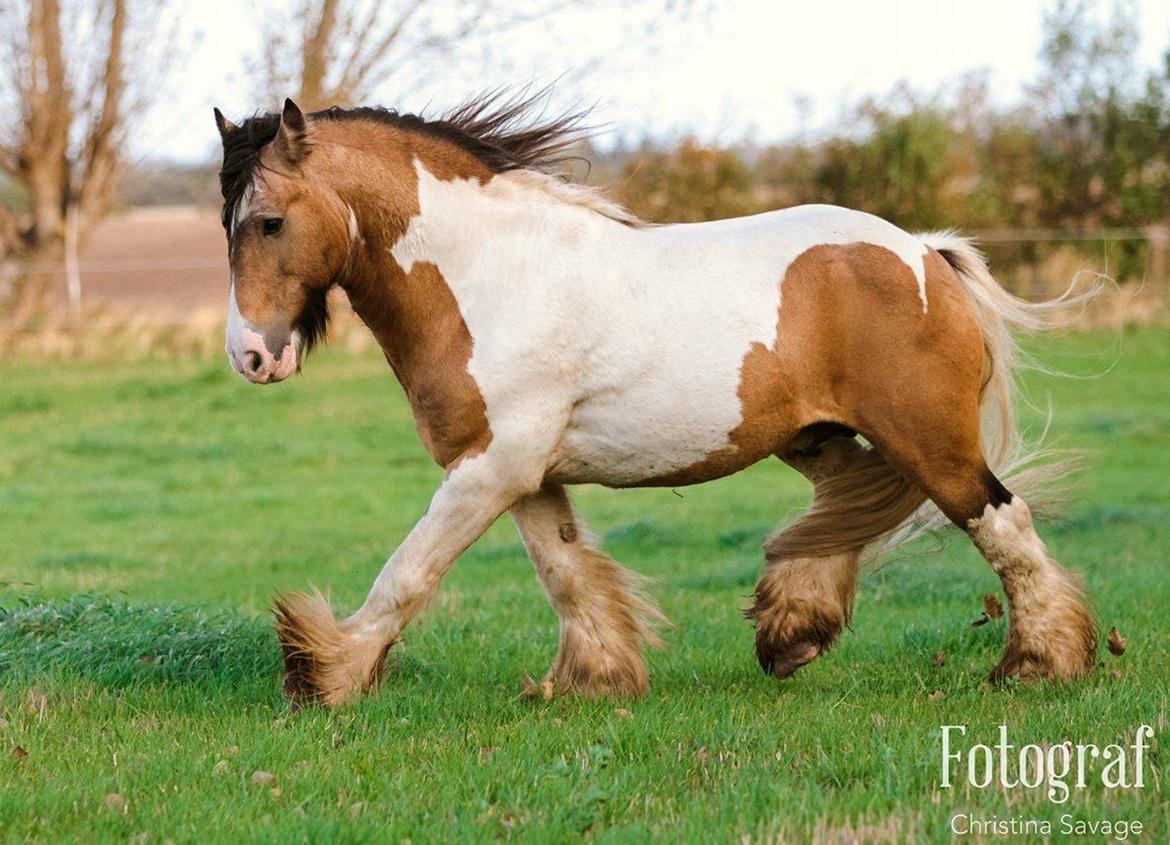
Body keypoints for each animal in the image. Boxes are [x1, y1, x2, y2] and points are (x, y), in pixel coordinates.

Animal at [210, 95, 1095, 706]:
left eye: (270, 221)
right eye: (231, 224)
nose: (250, 355)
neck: (491, 275)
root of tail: (925, 253)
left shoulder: (492, 468)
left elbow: (409, 572)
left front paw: (325, 674)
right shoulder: (523, 473)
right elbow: (566, 569)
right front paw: (594, 679)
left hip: (932, 443)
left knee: (1005, 525)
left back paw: (1039, 664)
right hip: (814, 434)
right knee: (849, 500)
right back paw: (793, 631)